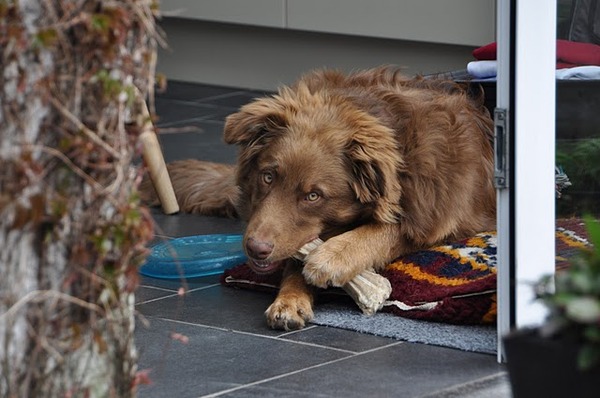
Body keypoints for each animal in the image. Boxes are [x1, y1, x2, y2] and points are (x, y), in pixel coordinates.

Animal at [143, 67, 494, 330]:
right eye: (267, 177)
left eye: (313, 195)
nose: (255, 248)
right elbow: (294, 261)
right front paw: (289, 300)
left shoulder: (437, 218)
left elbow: (387, 230)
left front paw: (332, 258)